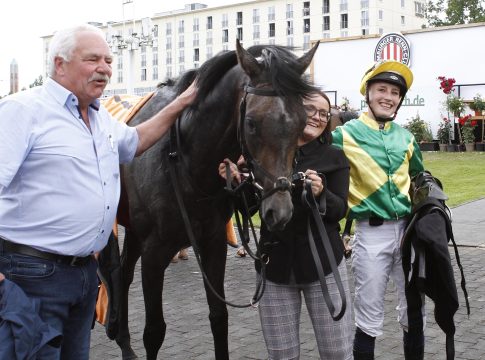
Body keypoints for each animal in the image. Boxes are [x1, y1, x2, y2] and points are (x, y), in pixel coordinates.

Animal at [115, 40, 320, 358]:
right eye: (251, 123)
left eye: (302, 122)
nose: (280, 210)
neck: (183, 163)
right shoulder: (154, 253)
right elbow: (154, 331)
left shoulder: (213, 244)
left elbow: (219, 317)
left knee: (123, 271)